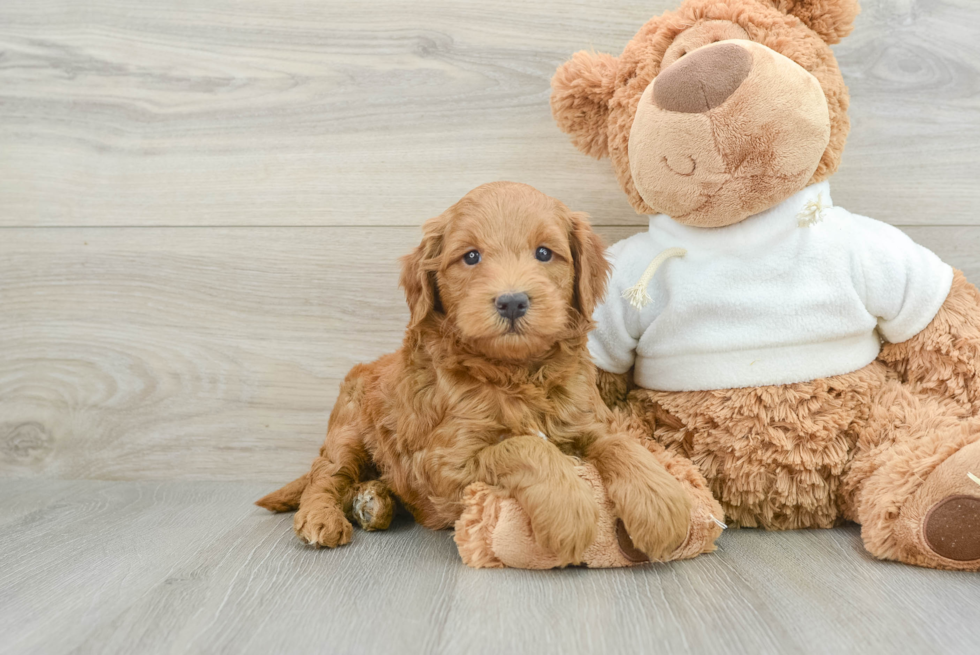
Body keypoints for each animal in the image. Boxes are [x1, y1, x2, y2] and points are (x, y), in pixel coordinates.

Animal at [256, 181, 692, 564]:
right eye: (470, 257)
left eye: (544, 253)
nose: (512, 301)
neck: (516, 372)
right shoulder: (443, 461)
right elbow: (524, 446)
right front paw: (571, 511)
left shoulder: (587, 417)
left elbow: (621, 443)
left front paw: (663, 506)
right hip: (348, 428)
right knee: (326, 475)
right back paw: (322, 517)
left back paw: (374, 500)